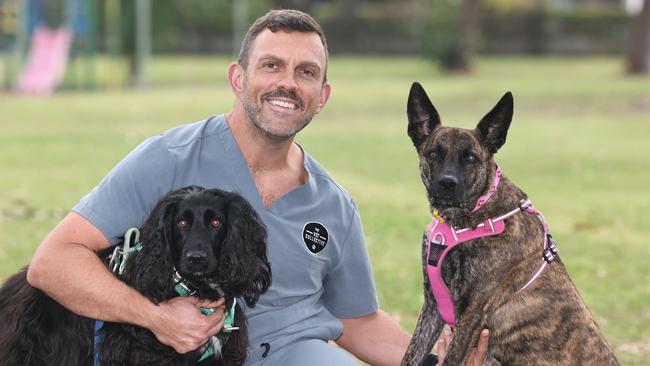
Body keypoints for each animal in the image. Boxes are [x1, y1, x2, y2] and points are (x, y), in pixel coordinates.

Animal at [400, 83, 616, 366]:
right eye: (434, 153)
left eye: (471, 158)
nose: (447, 183)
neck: (465, 218)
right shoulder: (433, 305)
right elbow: (410, 356)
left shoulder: (473, 313)